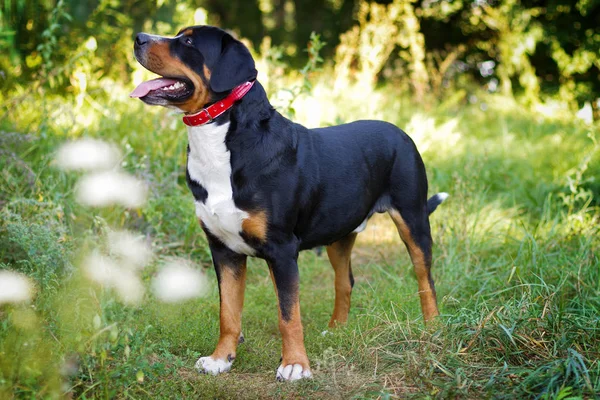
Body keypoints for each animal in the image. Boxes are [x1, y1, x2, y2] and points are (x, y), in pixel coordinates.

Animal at [131, 25, 446, 382]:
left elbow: (288, 314)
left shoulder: (282, 249)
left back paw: (432, 328)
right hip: (338, 233)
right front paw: (221, 359)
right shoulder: (224, 250)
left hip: (413, 219)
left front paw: (295, 364)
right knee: (345, 281)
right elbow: (229, 312)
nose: (139, 38)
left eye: (187, 42)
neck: (221, 142)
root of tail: (400, 132)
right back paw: (336, 329)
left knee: (425, 278)